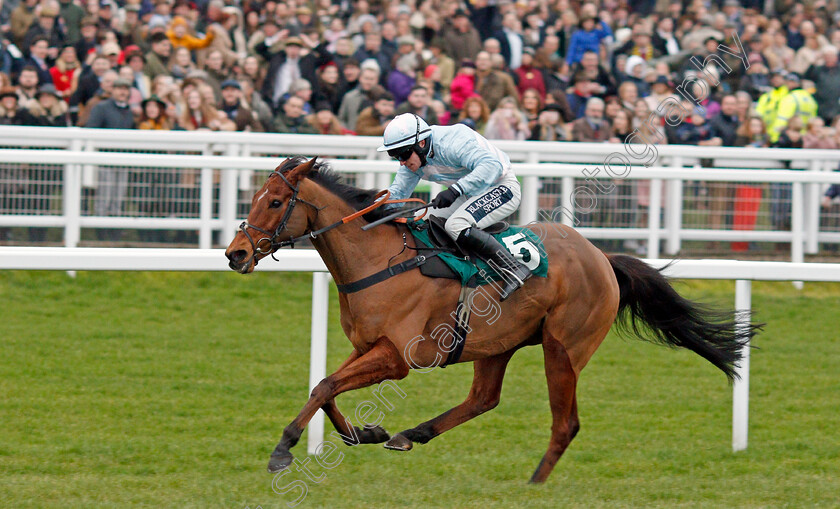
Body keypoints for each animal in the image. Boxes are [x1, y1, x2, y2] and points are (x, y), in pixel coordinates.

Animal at [226, 157, 756, 482]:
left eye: (275, 201)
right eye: (255, 197)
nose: (235, 253)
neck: (378, 259)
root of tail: (602, 258)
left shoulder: (396, 357)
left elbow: (325, 386)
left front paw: (284, 449)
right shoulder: (365, 347)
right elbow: (327, 385)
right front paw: (364, 433)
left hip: (563, 348)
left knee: (565, 424)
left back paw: (534, 484)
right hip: (496, 343)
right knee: (483, 398)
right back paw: (410, 435)